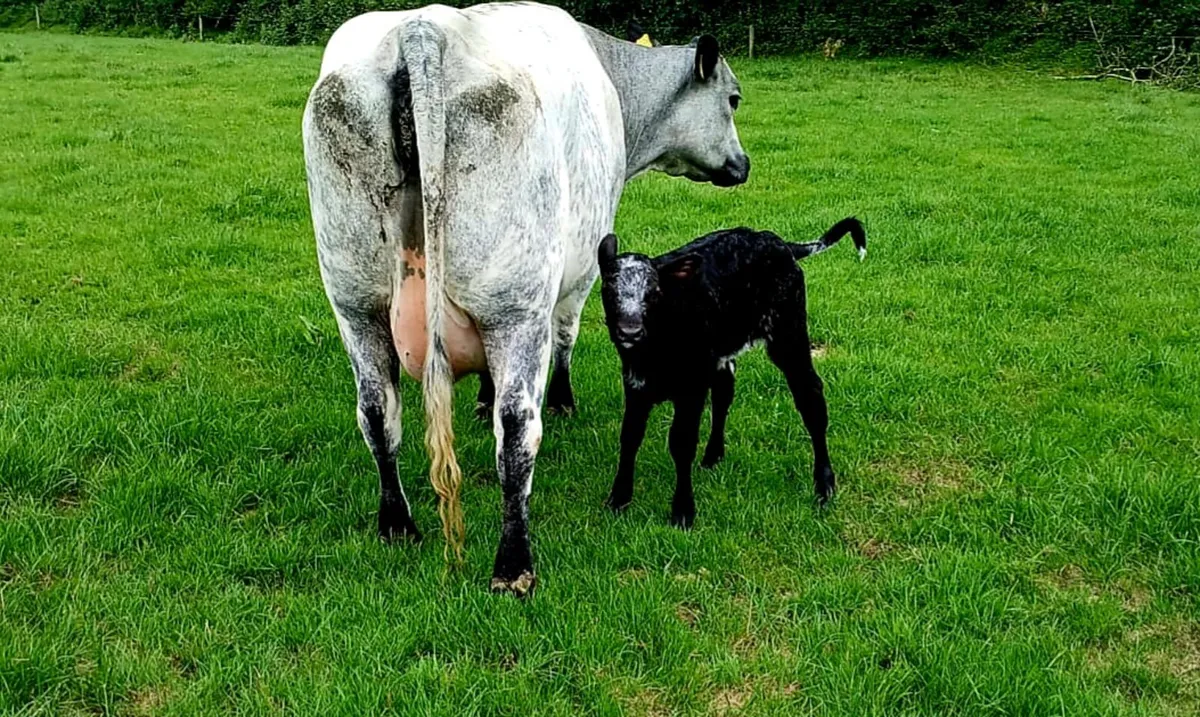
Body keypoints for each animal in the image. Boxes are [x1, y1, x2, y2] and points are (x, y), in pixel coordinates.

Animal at [302, 2, 749, 595]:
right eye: (733, 98)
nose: (742, 165)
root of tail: (422, 30)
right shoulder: (582, 268)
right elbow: (568, 336)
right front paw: (561, 399)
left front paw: (481, 397)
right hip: (516, 306)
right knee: (517, 431)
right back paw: (514, 566)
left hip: (355, 301)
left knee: (377, 414)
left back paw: (397, 525)